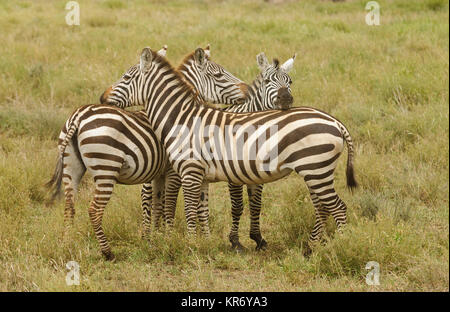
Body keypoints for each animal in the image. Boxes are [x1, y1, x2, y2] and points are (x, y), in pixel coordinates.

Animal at [47, 46, 248, 260]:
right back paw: (107, 252)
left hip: (71, 168)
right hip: (106, 168)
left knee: (69, 206)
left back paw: (66, 245)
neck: (178, 113)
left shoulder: (158, 173)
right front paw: (169, 238)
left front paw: (155, 239)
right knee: (94, 209)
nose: (247, 89)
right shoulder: (174, 171)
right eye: (219, 74)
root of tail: (79, 116)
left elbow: (158, 204)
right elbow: (171, 205)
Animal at [100, 46, 356, 256]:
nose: (102, 98)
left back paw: (341, 248)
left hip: (315, 169)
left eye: (126, 77)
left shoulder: (190, 171)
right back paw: (311, 248)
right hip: (315, 171)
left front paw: (189, 246)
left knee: (337, 207)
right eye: (268, 80)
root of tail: (334, 121)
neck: (182, 118)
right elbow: (201, 209)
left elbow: (189, 209)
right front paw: (203, 244)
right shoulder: (201, 174)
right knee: (324, 207)